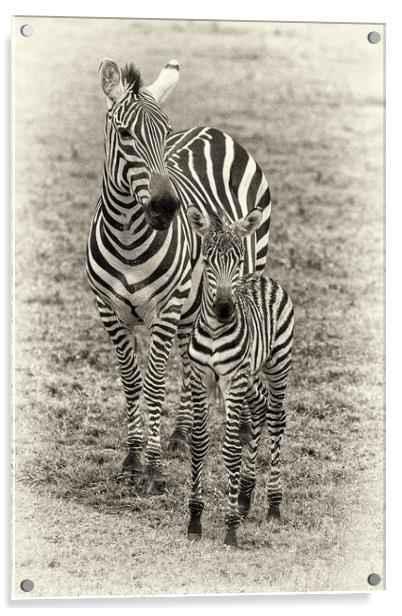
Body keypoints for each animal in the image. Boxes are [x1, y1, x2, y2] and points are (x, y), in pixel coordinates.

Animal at [86, 59, 272, 490]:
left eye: (165, 131)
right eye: (125, 134)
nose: (167, 207)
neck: (128, 238)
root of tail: (214, 131)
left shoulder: (166, 307)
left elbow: (155, 382)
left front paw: (153, 469)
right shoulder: (108, 311)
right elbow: (132, 382)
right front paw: (133, 458)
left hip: (237, 281)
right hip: (194, 304)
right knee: (190, 357)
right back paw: (182, 433)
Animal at [187, 208, 294, 548]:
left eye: (237, 260)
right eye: (207, 261)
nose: (223, 309)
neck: (214, 331)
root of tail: (260, 278)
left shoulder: (233, 381)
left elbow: (232, 449)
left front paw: (231, 528)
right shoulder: (200, 379)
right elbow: (198, 443)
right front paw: (194, 520)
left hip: (277, 363)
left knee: (276, 417)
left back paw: (273, 506)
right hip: (250, 376)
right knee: (260, 407)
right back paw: (246, 497)